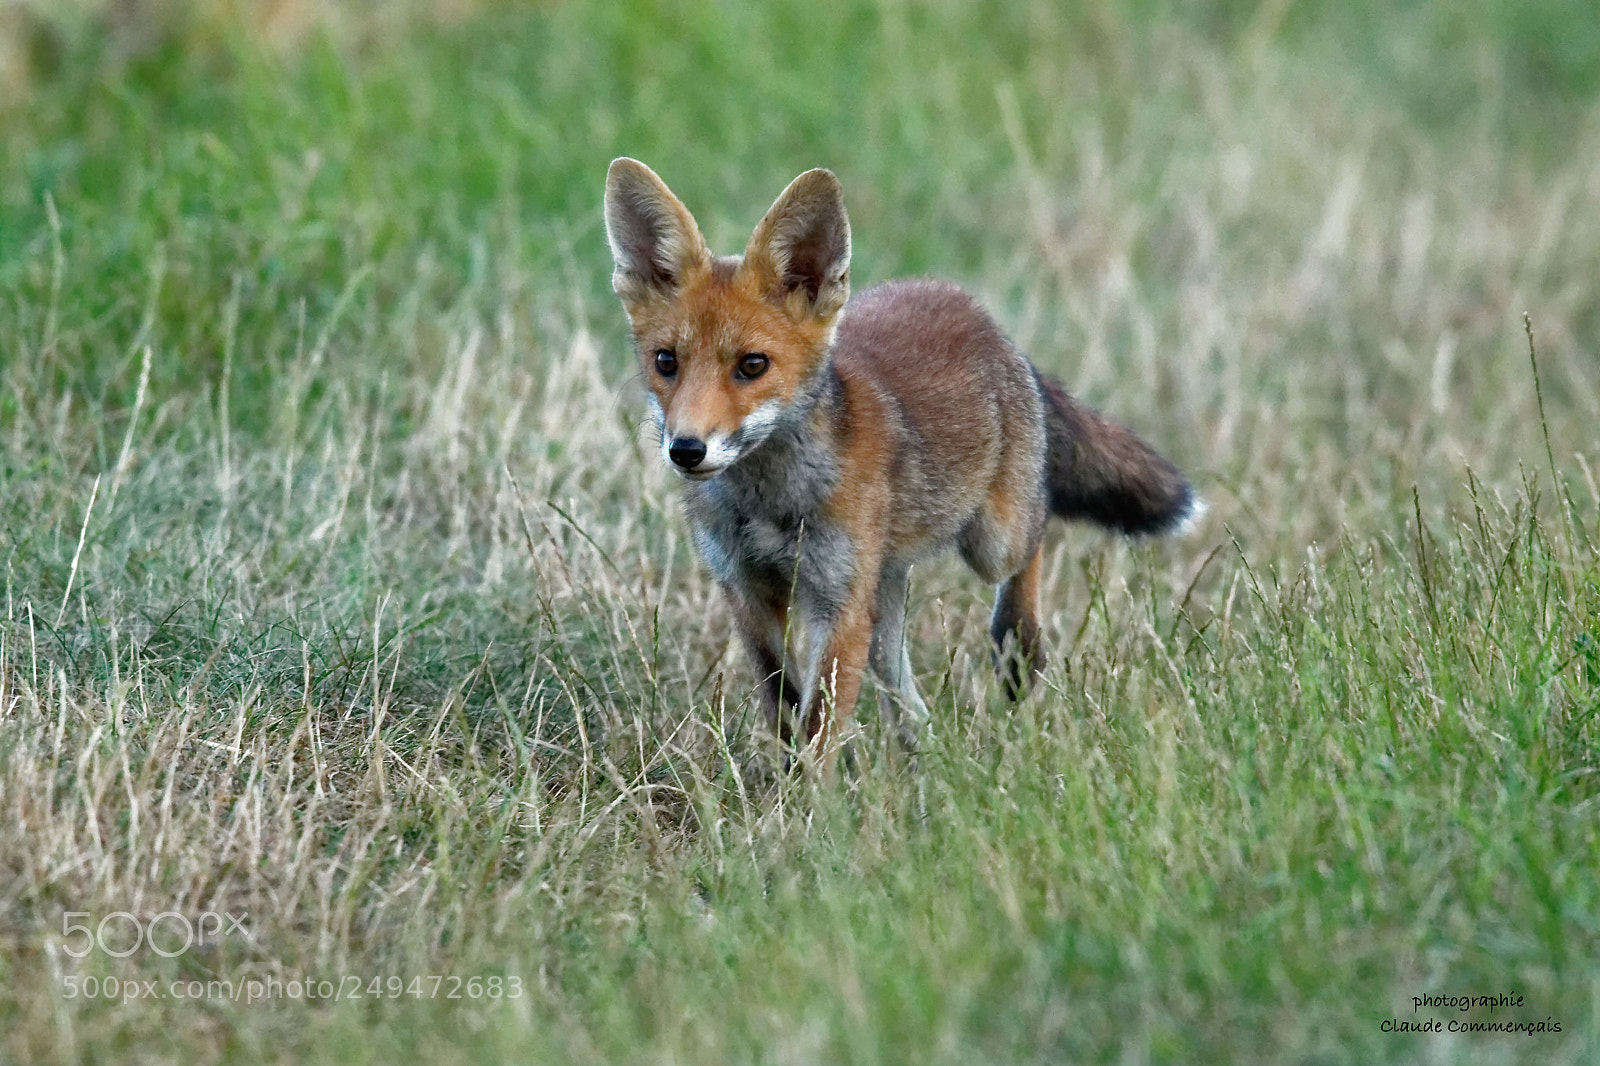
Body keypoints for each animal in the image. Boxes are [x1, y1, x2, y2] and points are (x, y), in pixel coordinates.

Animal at [603, 158, 1195, 772]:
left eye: (752, 365)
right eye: (666, 362)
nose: (686, 449)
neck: (768, 503)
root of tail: (971, 308)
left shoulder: (836, 602)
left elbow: (819, 723)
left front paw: (808, 798)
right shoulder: (747, 592)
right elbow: (785, 706)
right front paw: (787, 784)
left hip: (990, 540)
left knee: (1036, 530)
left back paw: (1017, 647)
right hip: (883, 584)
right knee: (899, 681)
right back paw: (925, 753)